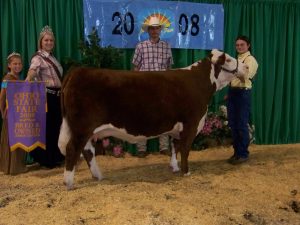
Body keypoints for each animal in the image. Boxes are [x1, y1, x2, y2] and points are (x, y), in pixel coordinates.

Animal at [57, 49, 247, 190]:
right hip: (82, 127)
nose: (245, 67)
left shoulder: (176, 127)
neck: (201, 82)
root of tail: (78, 71)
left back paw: (98, 176)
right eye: (229, 59)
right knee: (73, 149)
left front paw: (174, 167)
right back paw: (69, 182)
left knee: (87, 151)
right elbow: (185, 148)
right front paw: (186, 172)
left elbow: (175, 146)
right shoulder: (191, 123)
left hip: (86, 130)